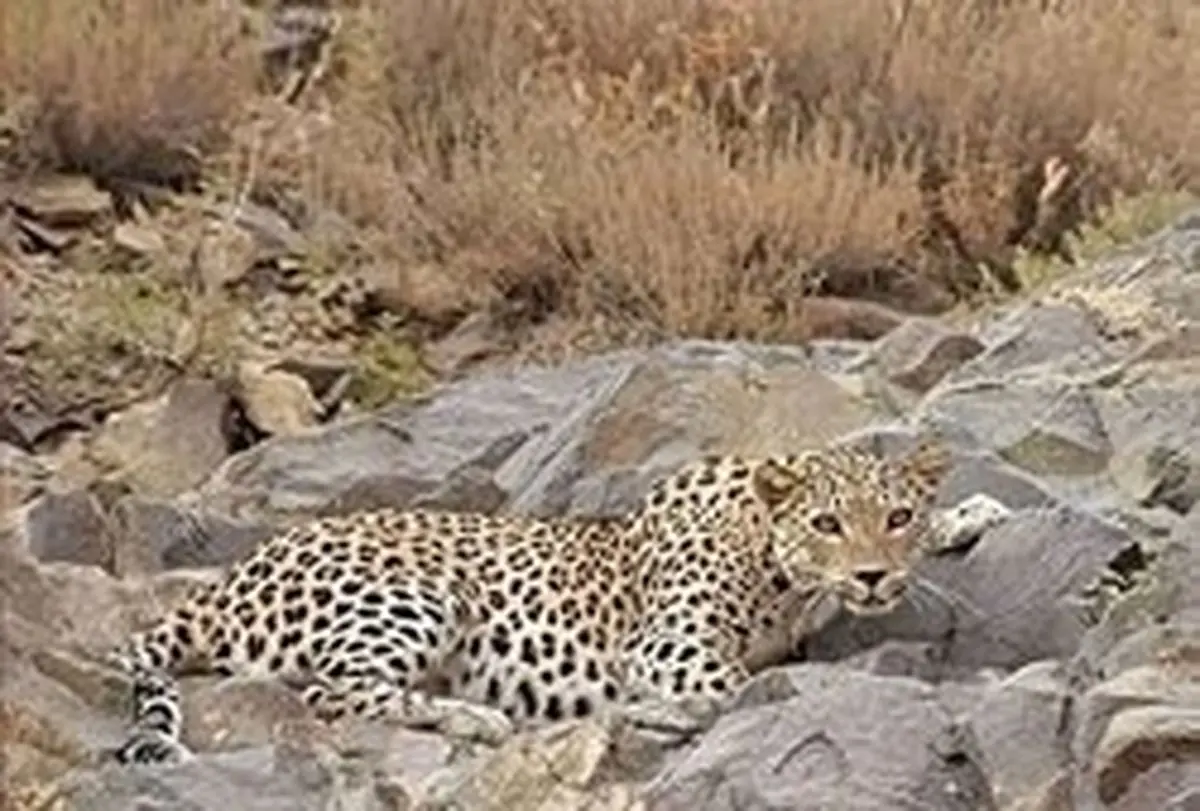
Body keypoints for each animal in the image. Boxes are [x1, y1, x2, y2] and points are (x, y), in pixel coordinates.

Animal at [106, 435, 956, 766]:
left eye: (896, 517)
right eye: (826, 523)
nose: (872, 575)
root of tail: (228, 578)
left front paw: (961, 518)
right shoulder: (666, 646)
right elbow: (735, 681)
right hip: (421, 592)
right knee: (332, 690)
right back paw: (477, 717)